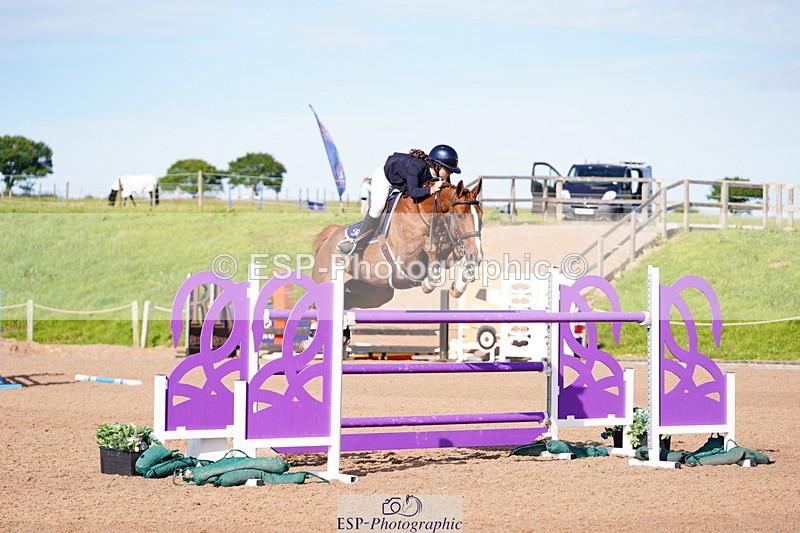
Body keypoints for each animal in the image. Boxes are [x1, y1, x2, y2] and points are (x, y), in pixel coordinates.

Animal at [312, 179, 483, 309]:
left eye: (481, 215)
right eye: (460, 216)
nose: (477, 256)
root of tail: (329, 238)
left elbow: (452, 256)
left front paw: (457, 287)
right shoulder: (404, 259)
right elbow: (429, 247)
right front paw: (428, 284)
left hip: (375, 293)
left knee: (347, 301)